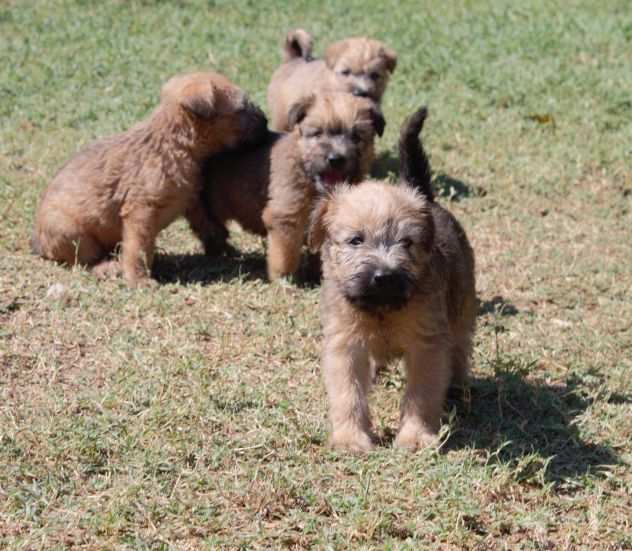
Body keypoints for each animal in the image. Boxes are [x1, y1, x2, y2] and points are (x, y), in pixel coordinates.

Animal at [30, 71, 268, 286]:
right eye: (242, 108)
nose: (266, 121)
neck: (173, 144)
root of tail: (38, 244)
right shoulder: (141, 212)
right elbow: (138, 249)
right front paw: (139, 279)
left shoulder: (191, 199)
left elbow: (209, 226)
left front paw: (226, 251)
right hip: (70, 231)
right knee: (85, 259)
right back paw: (106, 267)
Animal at [198, 93, 386, 282]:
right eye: (318, 133)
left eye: (356, 137)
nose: (336, 159)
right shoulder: (286, 217)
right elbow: (285, 254)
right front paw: (284, 279)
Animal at [308, 106, 476, 452]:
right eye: (356, 240)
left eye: (406, 243)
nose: (383, 276)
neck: (382, 310)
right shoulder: (345, 345)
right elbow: (348, 394)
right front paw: (351, 438)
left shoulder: (427, 345)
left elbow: (421, 395)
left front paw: (415, 436)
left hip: (462, 307)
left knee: (459, 347)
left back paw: (457, 385)